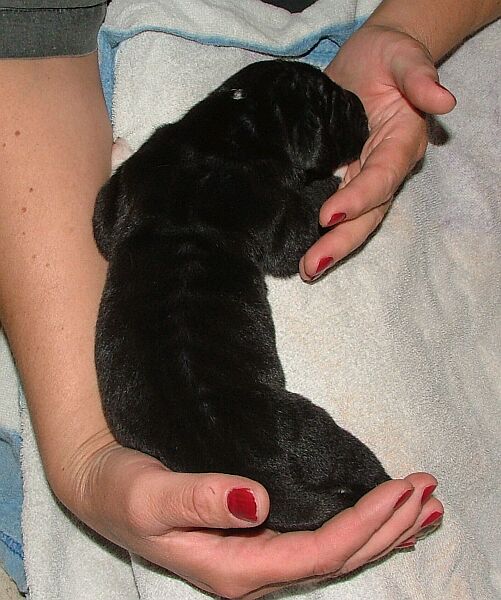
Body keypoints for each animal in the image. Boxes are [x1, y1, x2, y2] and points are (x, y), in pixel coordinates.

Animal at [93, 60, 389, 532]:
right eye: (333, 103)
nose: (362, 105)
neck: (233, 125)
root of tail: (271, 482)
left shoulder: (127, 188)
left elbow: (104, 216)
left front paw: (119, 146)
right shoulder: (275, 213)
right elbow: (299, 232)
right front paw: (339, 179)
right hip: (319, 433)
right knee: (357, 464)